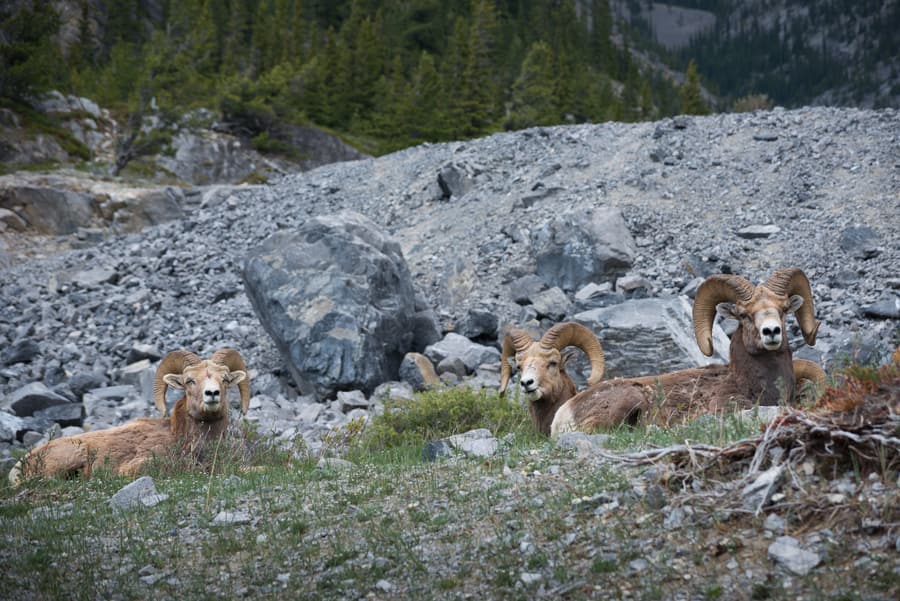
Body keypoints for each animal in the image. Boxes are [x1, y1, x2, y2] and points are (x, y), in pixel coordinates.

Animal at [548, 270, 824, 434]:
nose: (771, 332)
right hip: (628, 399)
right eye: (744, 315)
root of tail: (563, 414)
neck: (747, 383)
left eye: (784, 309)